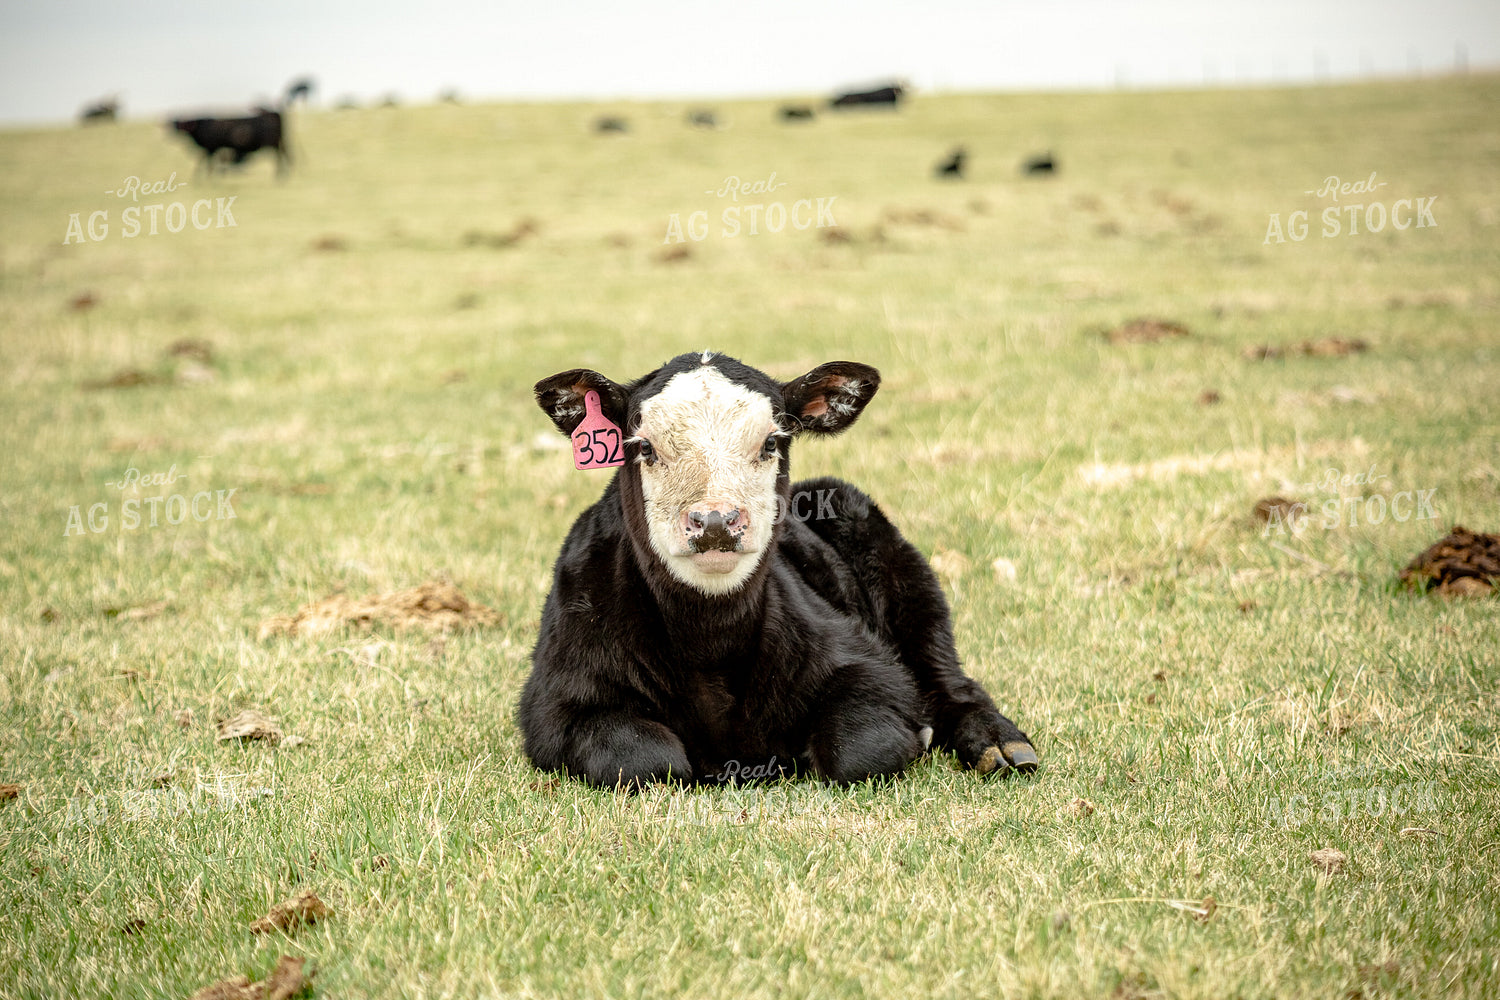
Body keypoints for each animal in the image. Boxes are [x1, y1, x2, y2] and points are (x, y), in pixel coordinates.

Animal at [519, 352, 1039, 790]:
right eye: (644, 447)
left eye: (771, 442)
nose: (715, 522)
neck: (709, 644)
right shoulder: (553, 707)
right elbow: (643, 759)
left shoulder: (871, 668)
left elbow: (860, 749)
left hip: (903, 576)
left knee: (948, 678)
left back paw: (1002, 745)